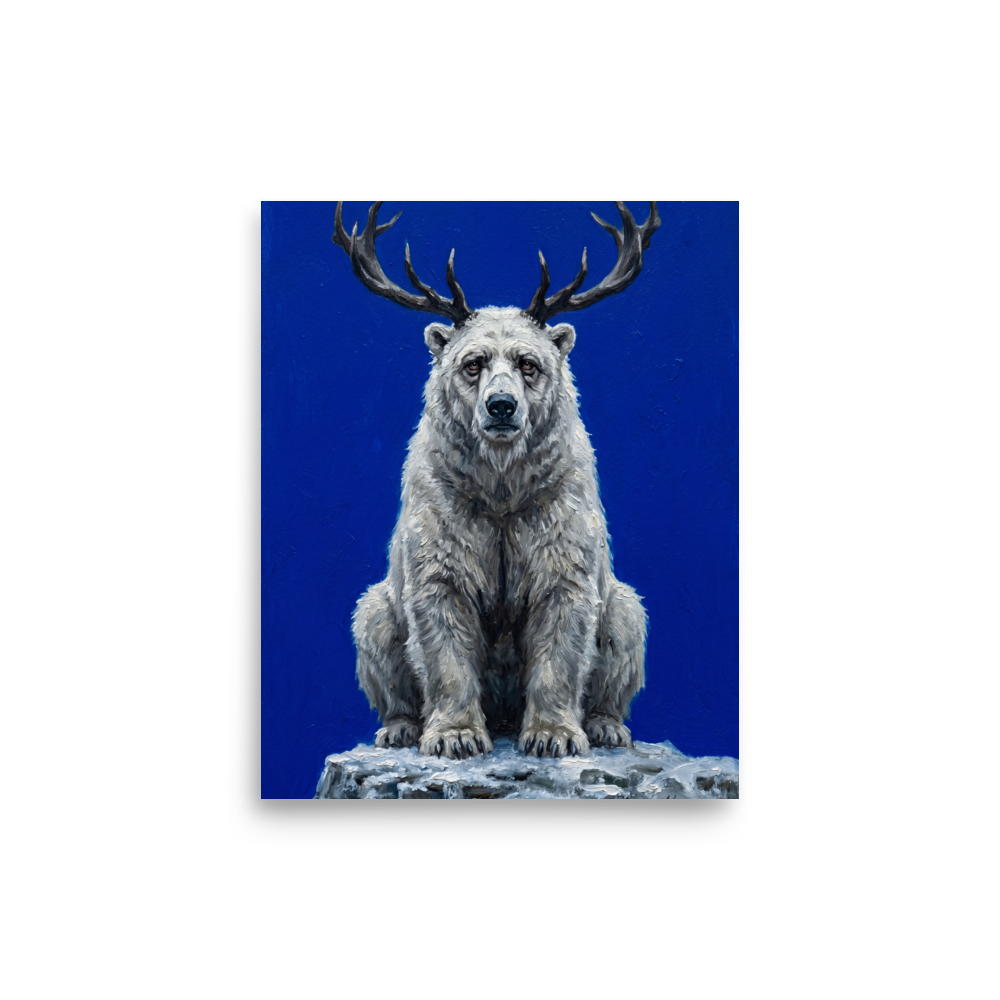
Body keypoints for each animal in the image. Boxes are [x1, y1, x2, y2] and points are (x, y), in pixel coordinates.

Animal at [332, 200, 659, 759]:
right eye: (473, 362)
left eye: (529, 363)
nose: (501, 406)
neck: (502, 492)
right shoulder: (445, 520)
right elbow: (441, 620)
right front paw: (455, 735)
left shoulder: (557, 519)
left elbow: (564, 619)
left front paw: (554, 735)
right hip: (377, 608)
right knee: (372, 623)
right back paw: (398, 727)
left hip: (622, 603)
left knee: (626, 620)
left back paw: (606, 726)